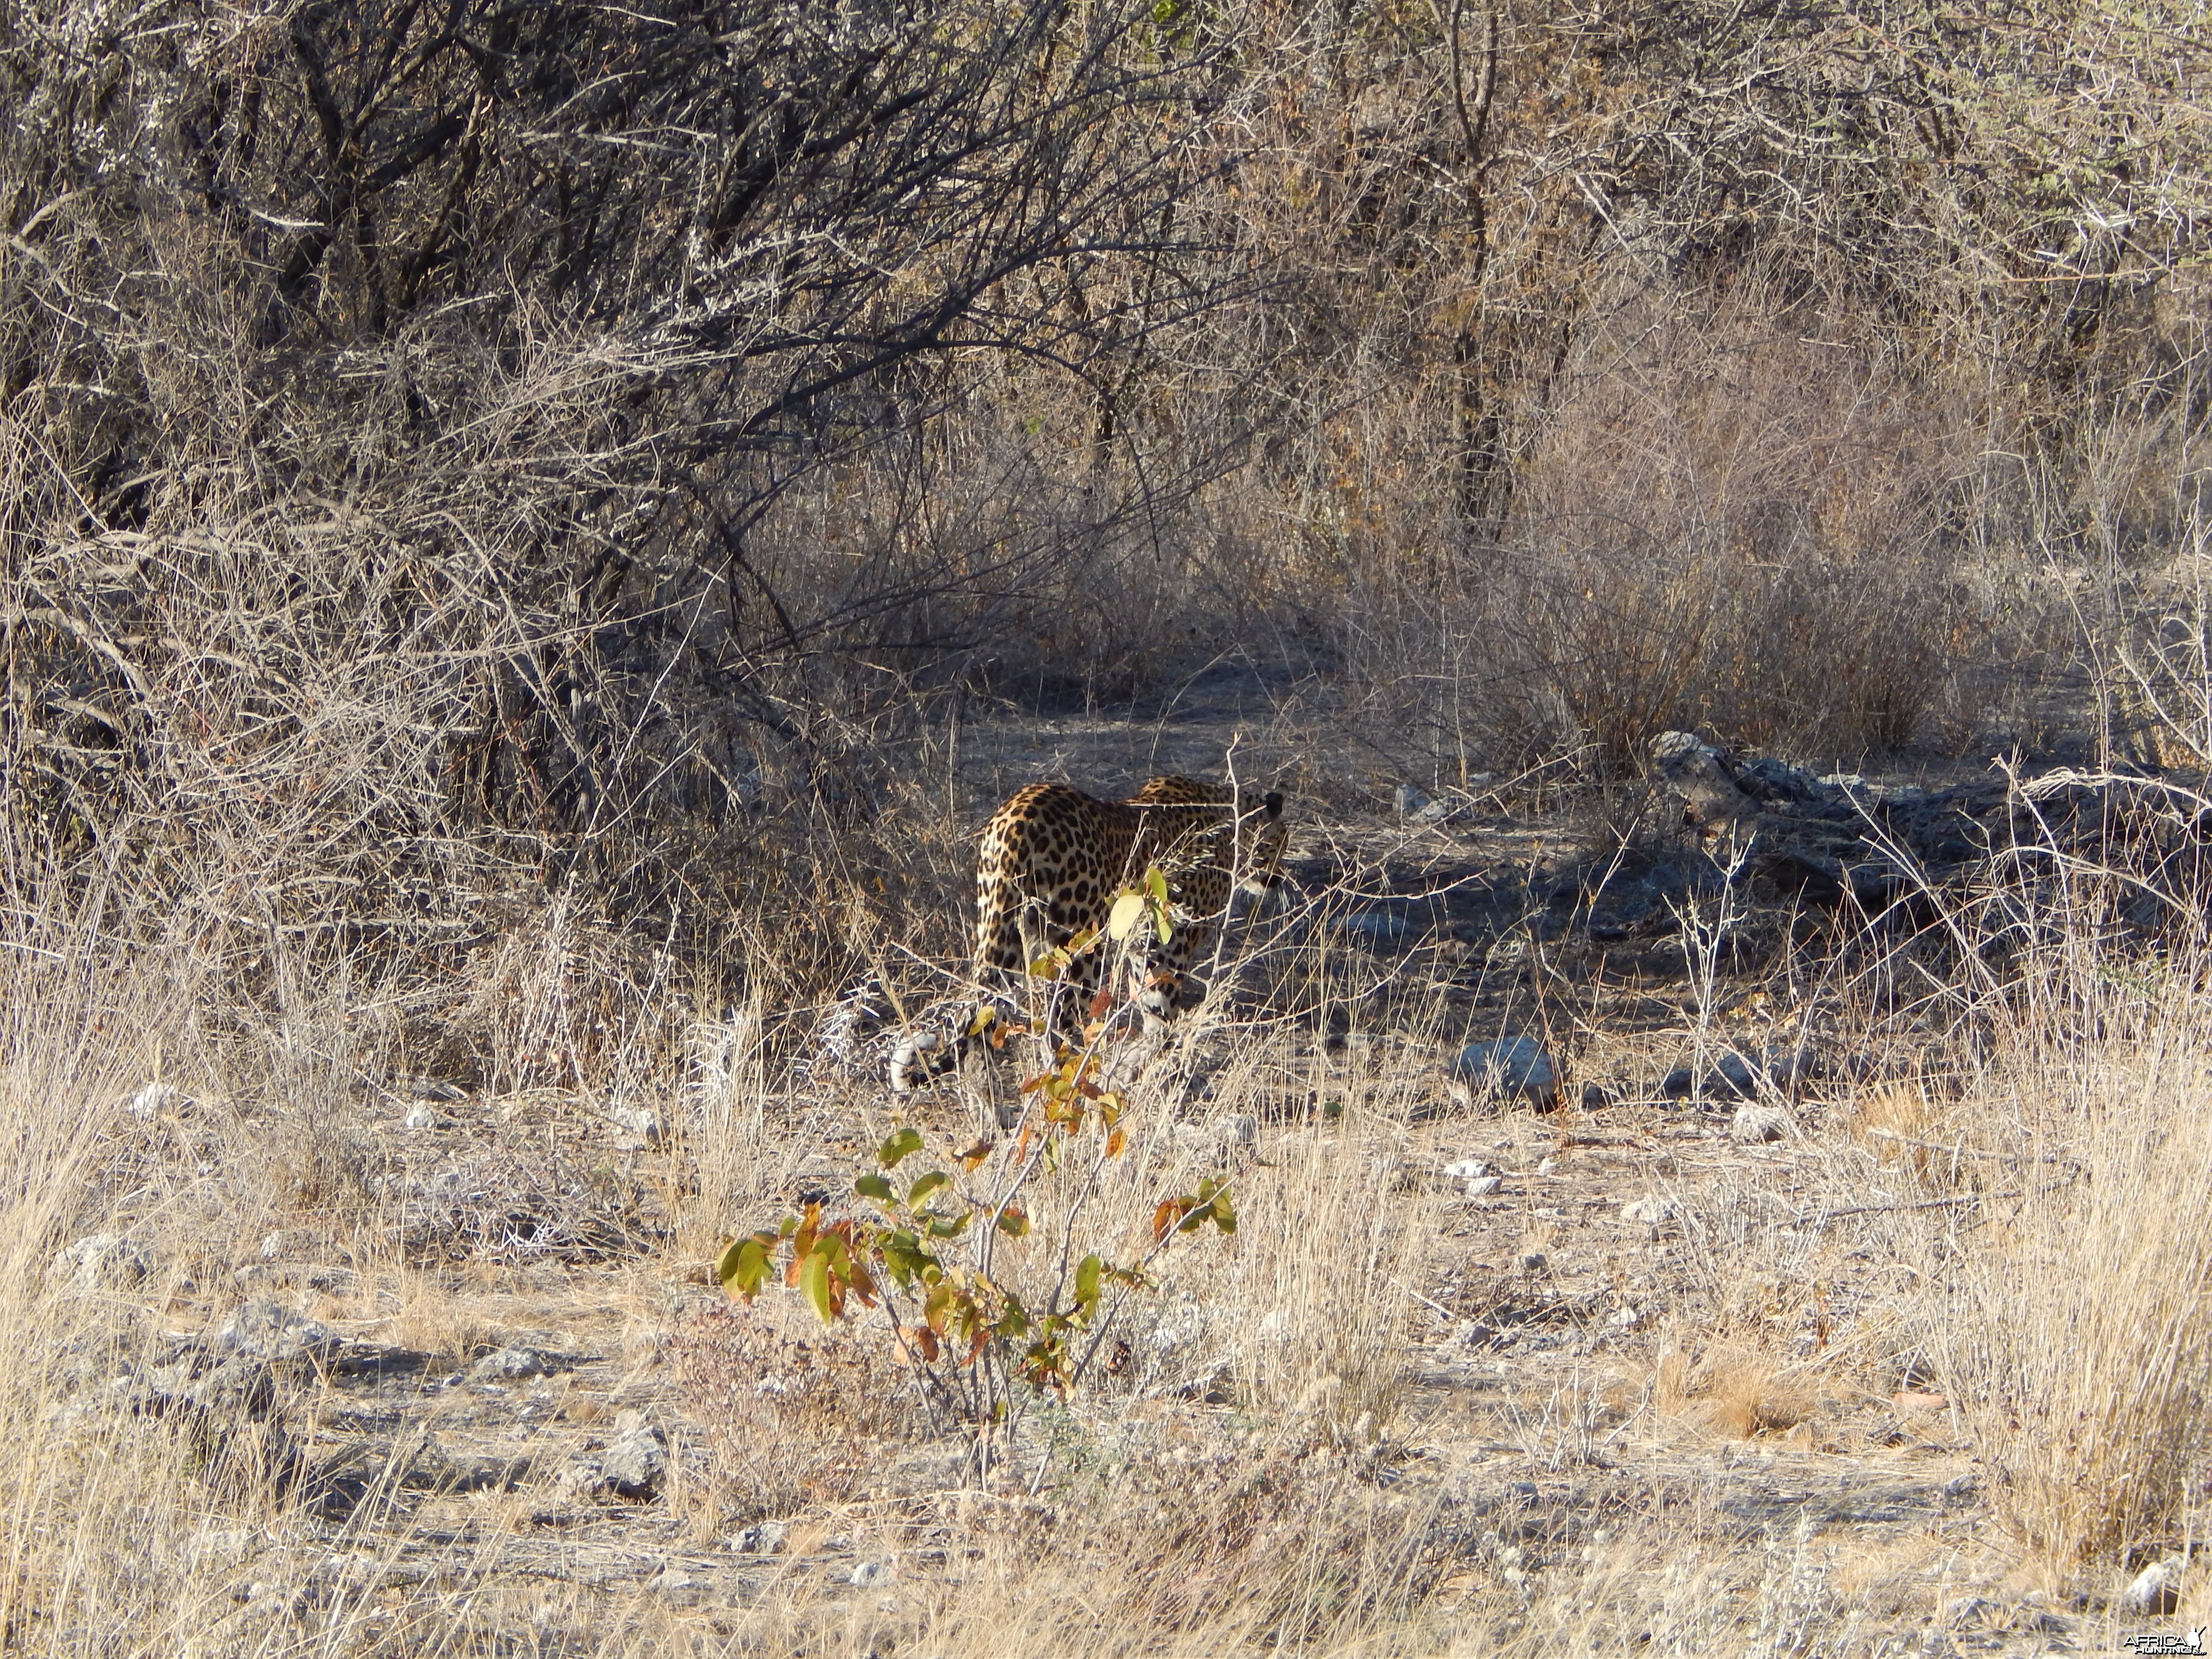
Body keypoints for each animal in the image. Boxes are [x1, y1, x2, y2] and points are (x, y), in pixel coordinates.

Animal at [889, 779, 1292, 1097]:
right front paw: (1145, 1068)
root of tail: (1016, 821)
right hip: (1081, 948)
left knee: (977, 1018)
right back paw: (1072, 1087)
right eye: (1282, 841)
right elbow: (1161, 1015)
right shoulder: (1171, 943)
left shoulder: (1142, 943)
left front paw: (1134, 1067)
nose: (1280, 879)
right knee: (1058, 1028)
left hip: (1003, 934)